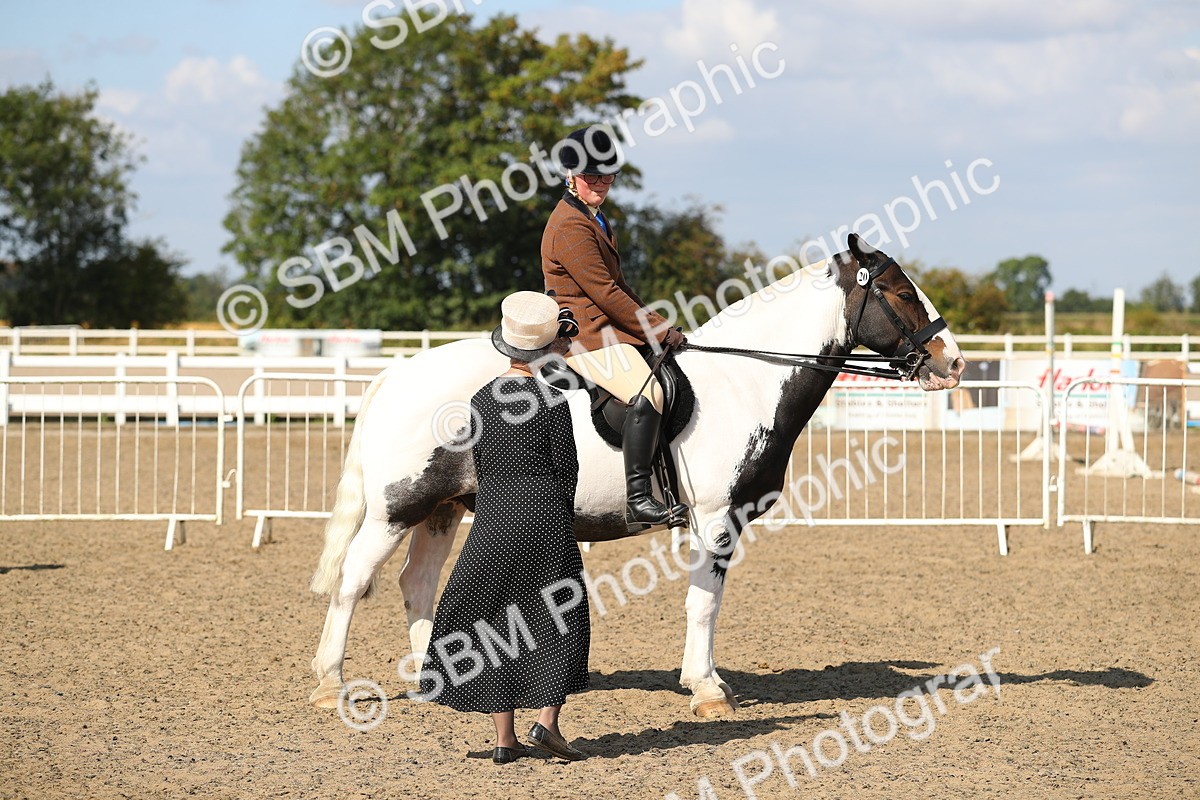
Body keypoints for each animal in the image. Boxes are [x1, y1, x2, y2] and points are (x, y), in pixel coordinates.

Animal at [307, 233, 966, 718]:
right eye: (900, 292)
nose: (953, 363)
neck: (746, 380)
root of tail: (397, 373)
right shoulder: (715, 518)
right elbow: (704, 603)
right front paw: (707, 690)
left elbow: (707, 601)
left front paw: (708, 681)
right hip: (398, 508)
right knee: (352, 581)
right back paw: (329, 683)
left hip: (441, 508)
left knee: (415, 584)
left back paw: (435, 682)